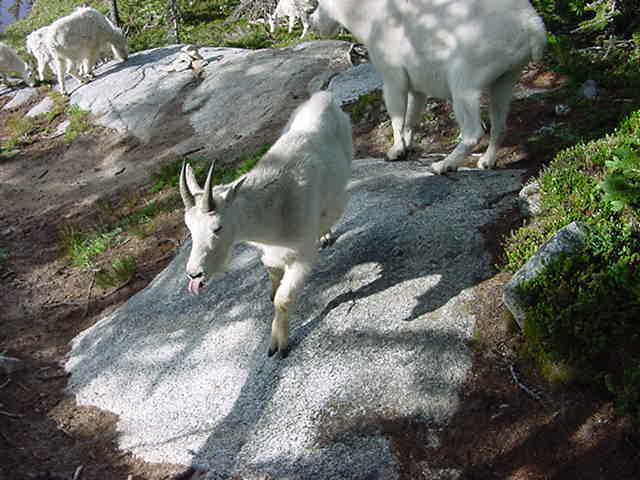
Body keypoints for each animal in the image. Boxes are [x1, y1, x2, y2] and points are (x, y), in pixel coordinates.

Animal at [179, 91, 353, 358]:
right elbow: (271, 273)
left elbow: (283, 298)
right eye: (189, 228)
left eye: (217, 227)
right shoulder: (268, 251)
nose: (194, 273)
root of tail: (325, 96)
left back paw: (325, 234)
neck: (272, 211)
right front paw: (271, 291)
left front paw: (278, 345)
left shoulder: (303, 255)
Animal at [311, 0, 546, 173]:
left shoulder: (393, 74)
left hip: (467, 72)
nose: (313, 21)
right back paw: (486, 161)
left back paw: (443, 165)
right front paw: (408, 146)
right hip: (507, 75)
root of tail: (533, 29)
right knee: (500, 120)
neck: (369, 15)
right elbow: (412, 117)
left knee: (473, 128)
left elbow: (397, 114)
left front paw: (395, 152)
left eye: (320, 2)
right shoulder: (417, 84)